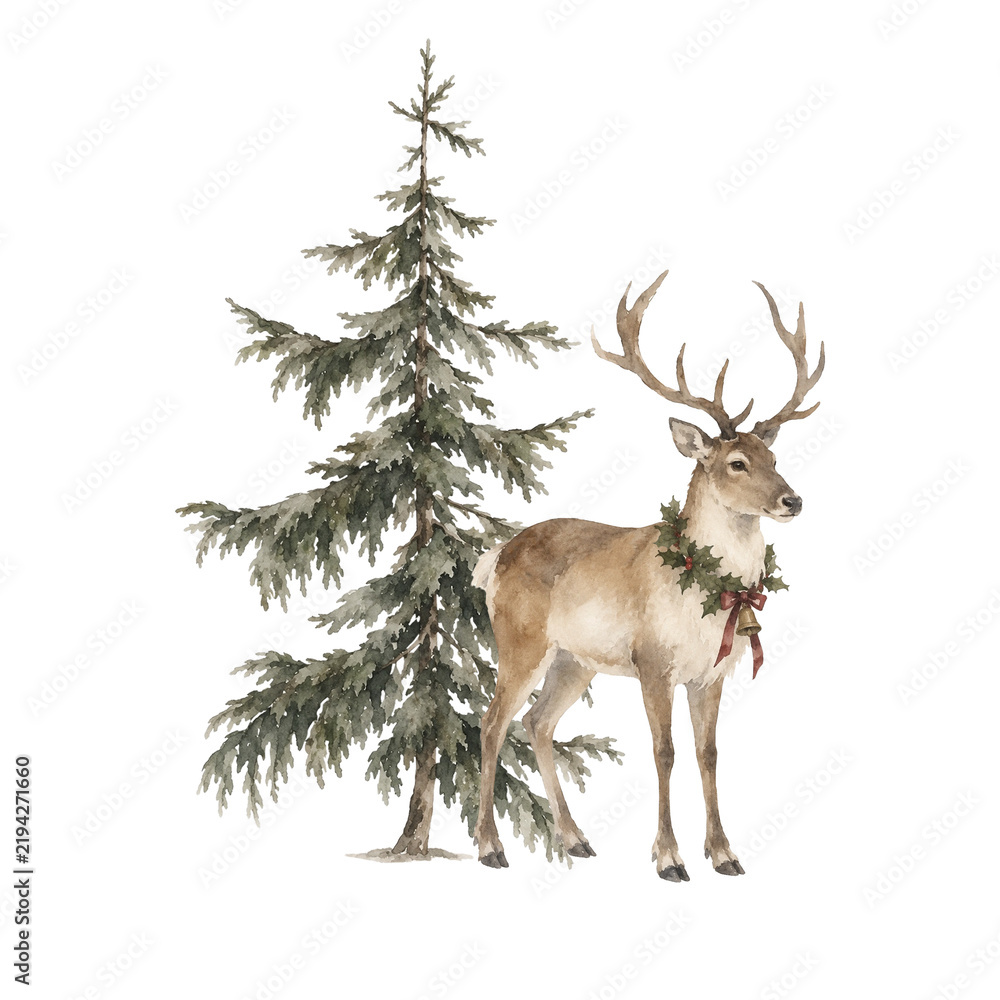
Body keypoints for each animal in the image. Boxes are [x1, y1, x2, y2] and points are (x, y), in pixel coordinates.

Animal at [471, 270, 824, 880]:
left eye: (774, 457)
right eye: (736, 463)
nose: (792, 500)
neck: (706, 594)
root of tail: (497, 555)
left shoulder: (711, 674)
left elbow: (709, 754)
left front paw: (725, 853)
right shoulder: (652, 662)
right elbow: (665, 752)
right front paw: (669, 857)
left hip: (574, 661)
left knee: (537, 723)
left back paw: (575, 839)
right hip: (520, 642)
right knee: (492, 725)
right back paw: (491, 848)